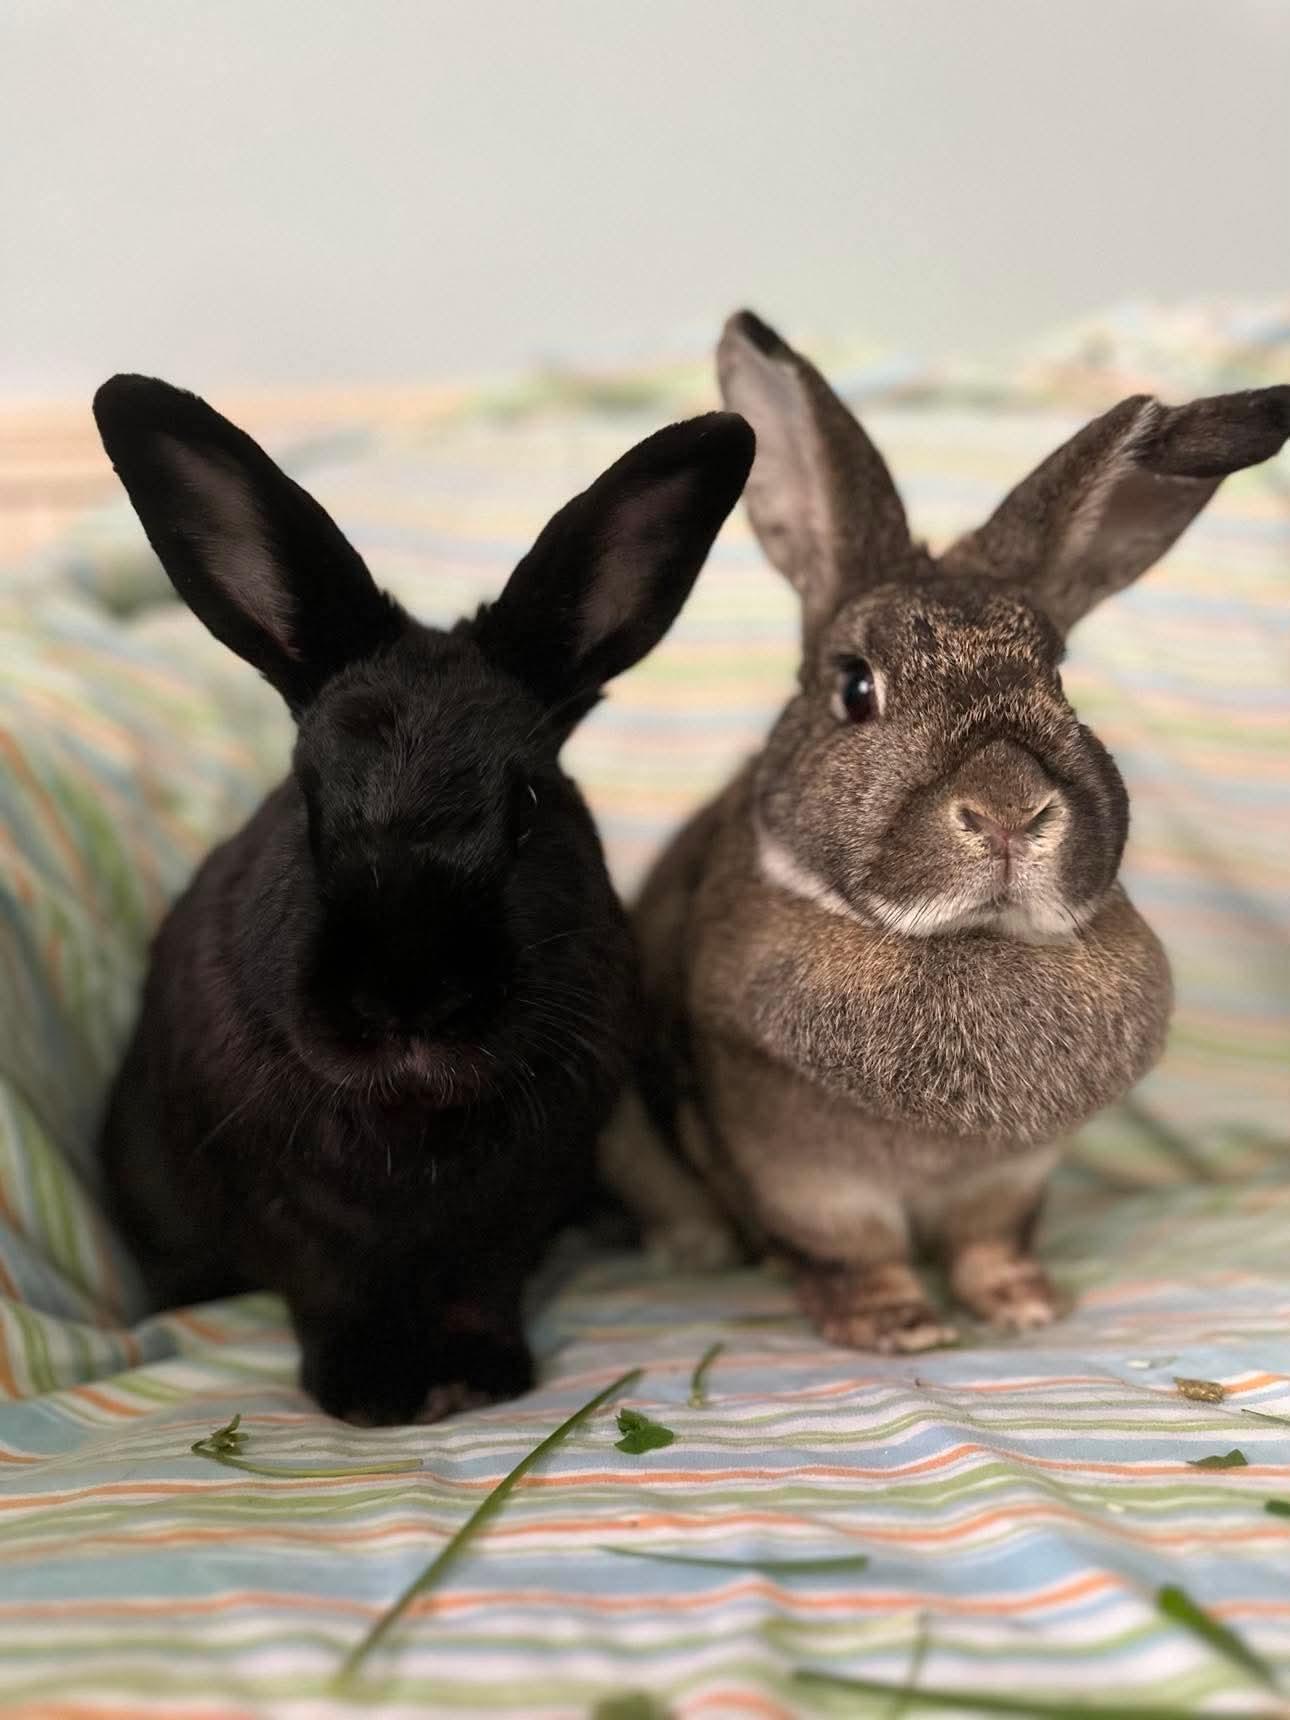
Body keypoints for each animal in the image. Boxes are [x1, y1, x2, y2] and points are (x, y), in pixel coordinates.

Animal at [93, 374, 754, 1423]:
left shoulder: (515, 1214)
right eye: (308, 800)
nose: (407, 999)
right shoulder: (294, 1224)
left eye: (529, 803)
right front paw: (371, 1397)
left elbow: (481, 1286)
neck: (413, 1117)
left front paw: (479, 1381)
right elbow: (332, 1293)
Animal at [604, 311, 1290, 1352]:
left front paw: (1023, 1305)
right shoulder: (804, 1176)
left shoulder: (1009, 1179)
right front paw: (899, 1328)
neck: (967, 940)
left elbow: (988, 1243)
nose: (1010, 809)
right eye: (855, 688)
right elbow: (853, 1252)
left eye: (1059, 679)